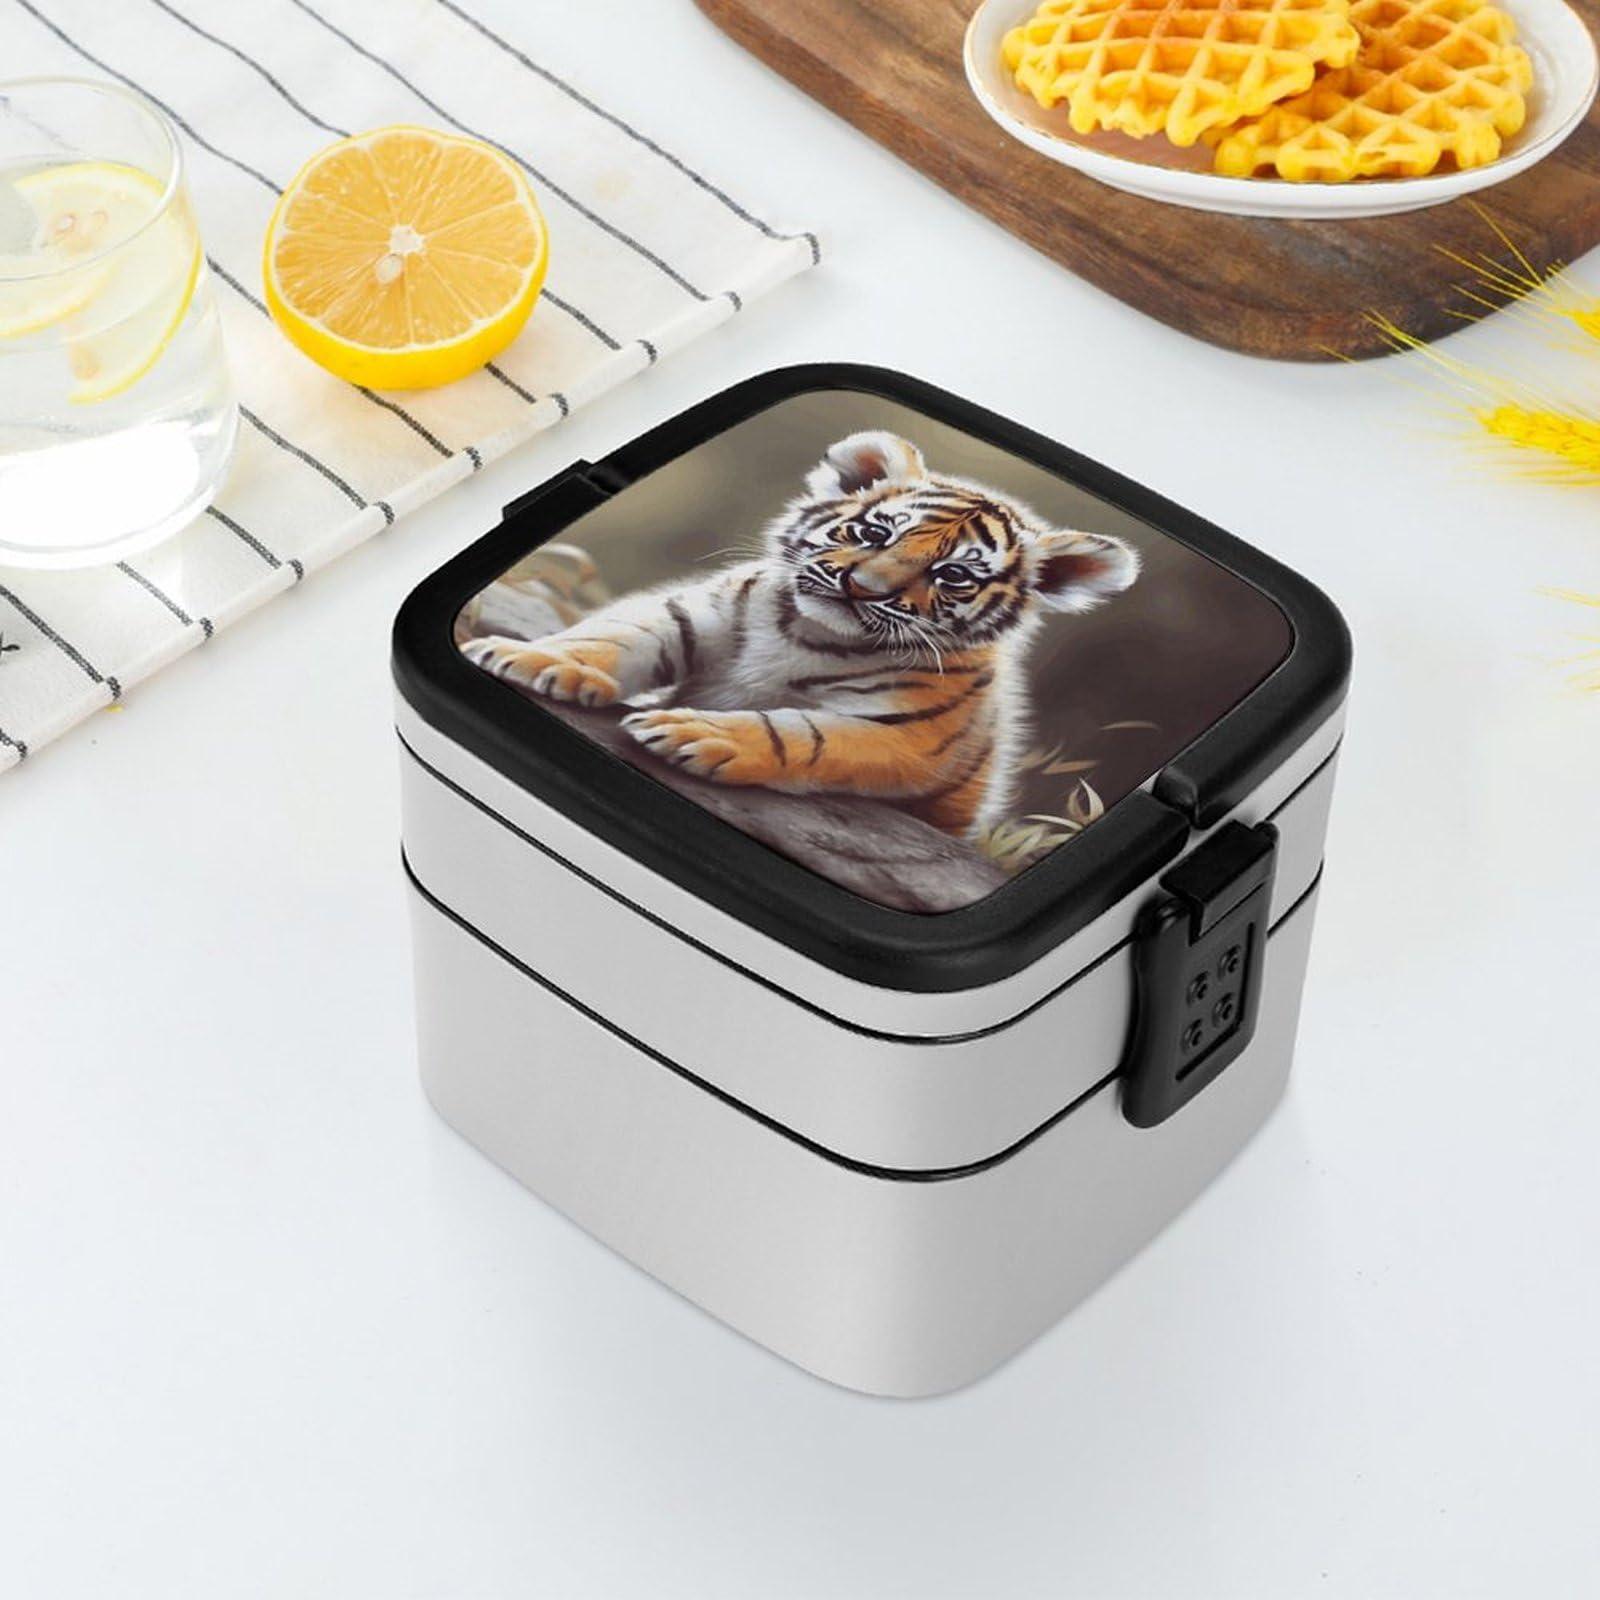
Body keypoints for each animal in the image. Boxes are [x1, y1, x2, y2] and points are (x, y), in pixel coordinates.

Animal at [462, 430, 1140, 840]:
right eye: (875, 533)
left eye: (952, 575)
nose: (861, 588)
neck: (805, 633)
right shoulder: (687, 613)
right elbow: (613, 635)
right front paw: (537, 662)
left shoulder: (907, 738)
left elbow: (799, 734)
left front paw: (693, 733)